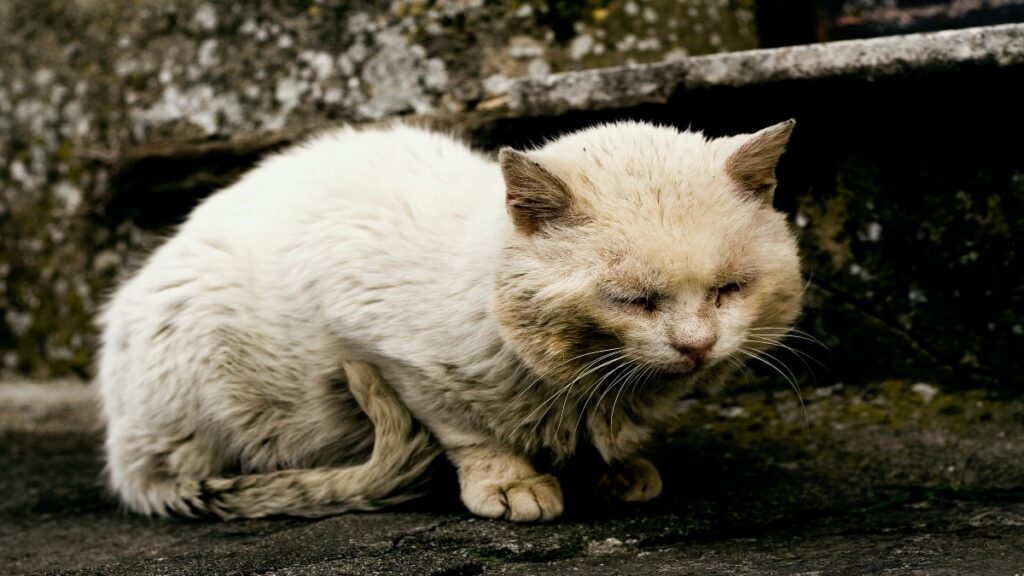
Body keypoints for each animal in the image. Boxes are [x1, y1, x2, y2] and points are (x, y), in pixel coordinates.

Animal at [97, 119, 798, 520]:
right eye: (635, 300)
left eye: (729, 290)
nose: (698, 345)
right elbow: (468, 430)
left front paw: (611, 469)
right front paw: (512, 484)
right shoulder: (383, 348)